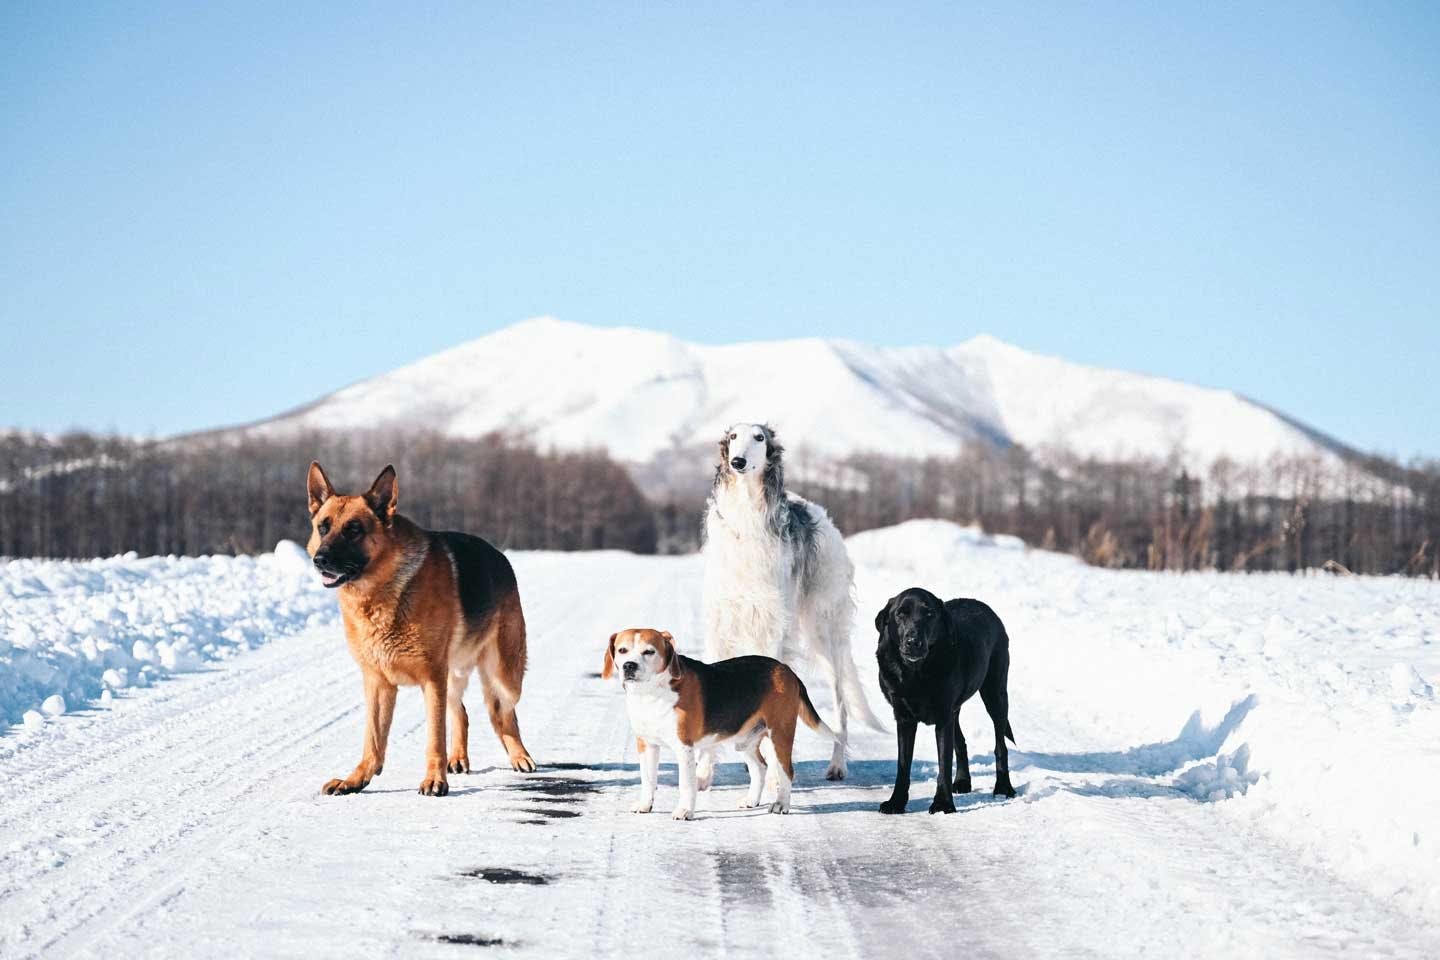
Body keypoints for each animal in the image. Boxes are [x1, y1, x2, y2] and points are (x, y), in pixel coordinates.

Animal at [308, 457, 535, 794]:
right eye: (323, 528)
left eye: (353, 530)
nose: (320, 560)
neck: (382, 590)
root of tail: (500, 555)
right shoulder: (378, 683)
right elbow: (373, 739)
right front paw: (356, 779)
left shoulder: (432, 678)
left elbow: (434, 737)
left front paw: (434, 779)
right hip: (454, 675)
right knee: (463, 712)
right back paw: (459, 757)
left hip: (504, 675)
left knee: (502, 713)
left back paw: (519, 755)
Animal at [604, 627, 835, 823]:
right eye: (622, 650)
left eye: (649, 652)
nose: (629, 666)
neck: (651, 693)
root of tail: (786, 669)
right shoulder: (647, 745)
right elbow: (648, 779)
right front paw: (645, 805)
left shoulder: (684, 748)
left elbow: (686, 784)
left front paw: (684, 811)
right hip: (745, 741)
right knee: (760, 767)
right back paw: (751, 801)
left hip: (780, 735)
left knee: (786, 771)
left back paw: (781, 804)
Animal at [694, 420, 881, 788]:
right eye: (732, 437)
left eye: (759, 437)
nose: (737, 462)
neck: (747, 517)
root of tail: (821, 515)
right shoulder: (722, 624)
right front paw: (704, 773)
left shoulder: (773, 624)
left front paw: (774, 779)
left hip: (824, 633)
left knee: (840, 704)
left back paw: (837, 764)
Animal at [869, 581, 1019, 817]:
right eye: (900, 614)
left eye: (929, 614)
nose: (913, 642)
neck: (916, 672)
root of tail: (984, 606)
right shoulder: (905, 718)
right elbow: (903, 765)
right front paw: (896, 802)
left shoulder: (943, 716)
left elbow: (943, 764)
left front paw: (942, 804)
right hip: (955, 710)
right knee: (961, 742)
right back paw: (963, 781)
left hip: (995, 693)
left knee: (1000, 745)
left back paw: (1003, 787)